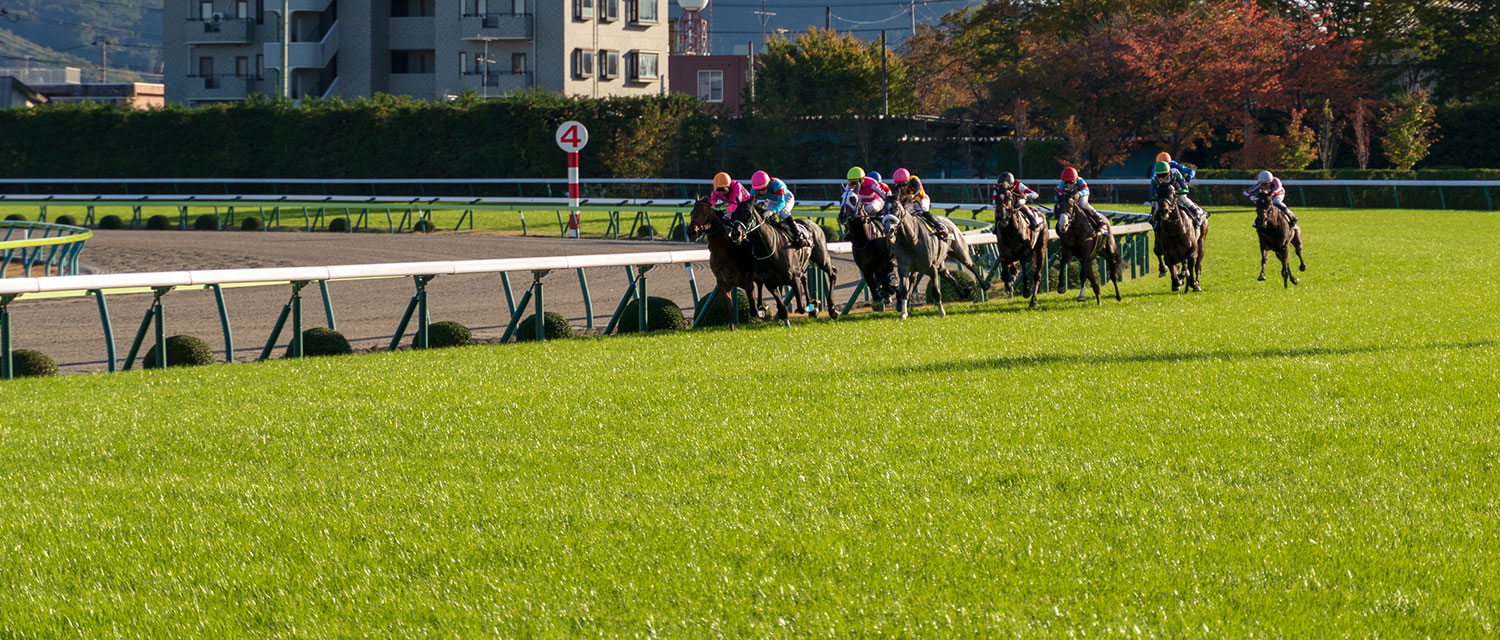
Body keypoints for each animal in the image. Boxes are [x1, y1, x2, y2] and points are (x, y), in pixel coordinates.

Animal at [690, 197, 762, 331]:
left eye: (705, 214)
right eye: (691, 213)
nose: (691, 233)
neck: (727, 252)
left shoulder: (747, 282)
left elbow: (753, 309)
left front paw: (761, 312)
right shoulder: (723, 283)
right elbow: (730, 309)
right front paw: (732, 329)